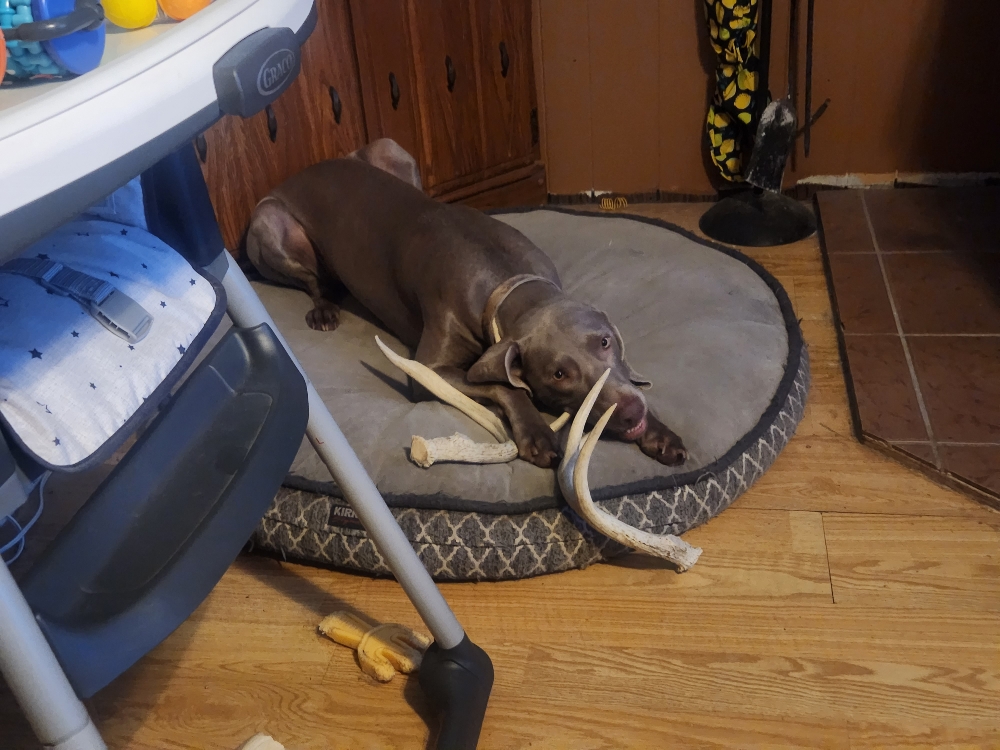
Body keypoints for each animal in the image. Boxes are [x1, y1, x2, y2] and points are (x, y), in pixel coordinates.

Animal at [245, 139, 687, 470]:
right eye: (559, 374)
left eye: (605, 342)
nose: (630, 414)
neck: (505, 280)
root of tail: (304, 168)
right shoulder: (428, 371)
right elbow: (502, 384)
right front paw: (536, 433)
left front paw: (658, 431)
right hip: (268, 224)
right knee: (313, 280)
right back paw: (323, 309)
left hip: (390, 149)